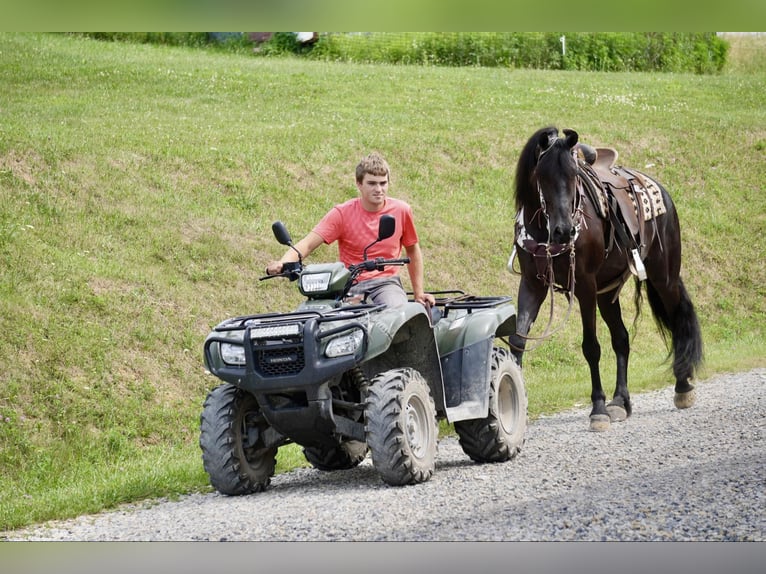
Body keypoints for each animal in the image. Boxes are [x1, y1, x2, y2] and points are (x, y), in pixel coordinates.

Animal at [507, 126, 703, 431]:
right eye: (542, 175)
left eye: (574, 175)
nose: (564, 230)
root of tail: (661, 189)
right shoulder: (531, 284)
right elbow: (518, 340)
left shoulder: (585, 286)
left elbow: (591, 347)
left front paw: (597, 408)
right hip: (607, 293)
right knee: (621, 338)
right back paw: (621, 401)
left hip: (664, 277)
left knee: (677, 319)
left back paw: (682, 387)